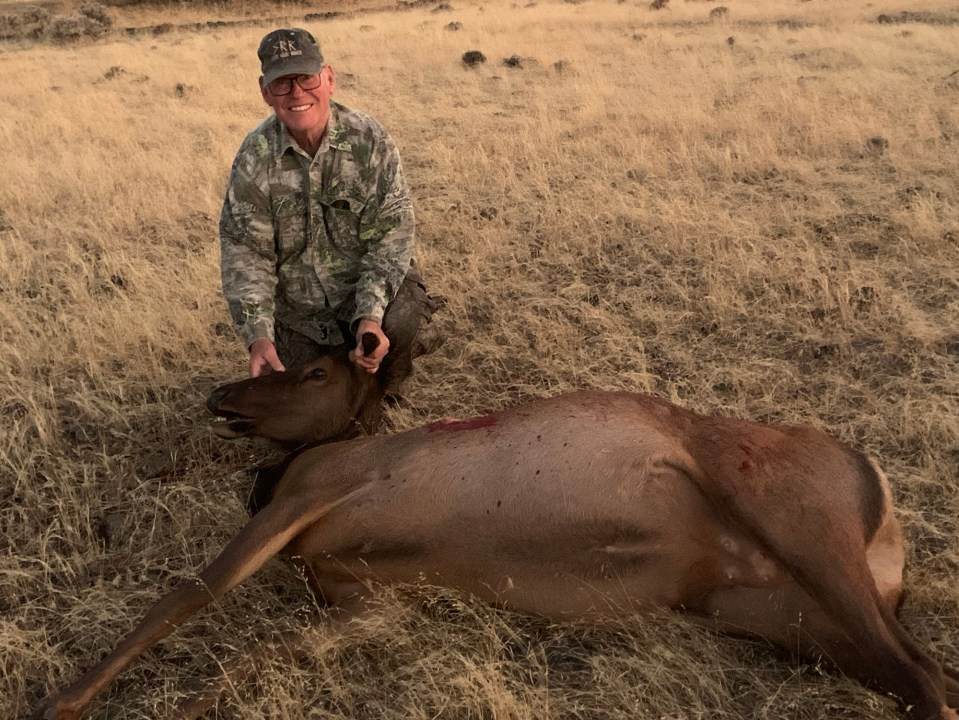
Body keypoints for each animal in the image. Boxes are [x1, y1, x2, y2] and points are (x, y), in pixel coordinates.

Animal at [33, 335, 959, 720]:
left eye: (316, 369)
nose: (221, 393)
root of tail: (880, 498)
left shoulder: (302, 504)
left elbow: (181, 599)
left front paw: (60, 701)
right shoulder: (368, 605)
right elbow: (258, 658)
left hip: (804, 534)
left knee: (925, 674)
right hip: (778, 616)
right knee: (918, 675)